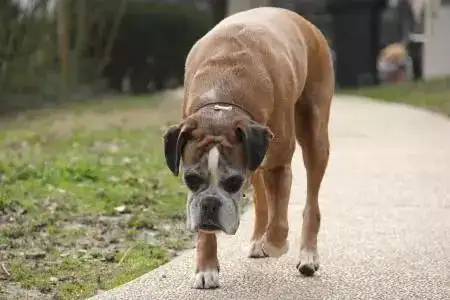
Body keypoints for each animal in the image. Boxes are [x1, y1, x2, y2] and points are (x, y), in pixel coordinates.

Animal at [163, 6, 332, 288]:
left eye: (233, 182)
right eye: (191, 179)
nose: (210, 204)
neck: (222, 102)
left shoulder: (278, 166)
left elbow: (280, 222)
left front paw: (275, 245)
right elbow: (206, 230)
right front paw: (206, 268)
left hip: (315, 137)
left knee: (310, 203)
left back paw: (307, 255)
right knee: (263, 202)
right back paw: (257, 239)